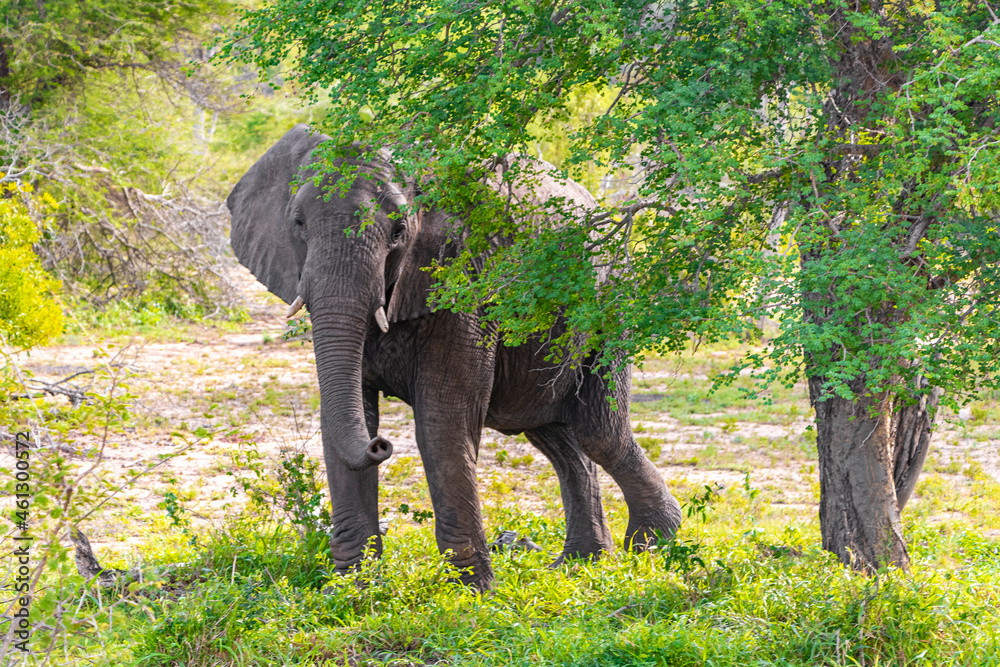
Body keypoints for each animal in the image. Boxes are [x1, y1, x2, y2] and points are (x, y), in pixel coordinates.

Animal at [226, 124, 682, 590]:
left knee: (597, 430)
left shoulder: (467, 283)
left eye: (398, 231)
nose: (380, 444)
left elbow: (442, 422)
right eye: (298, 224)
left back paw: (652, 544)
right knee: (554, 433)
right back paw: (580, 563)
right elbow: (344, 414)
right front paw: (355, 587)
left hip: (612, 303)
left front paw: (470, 591)